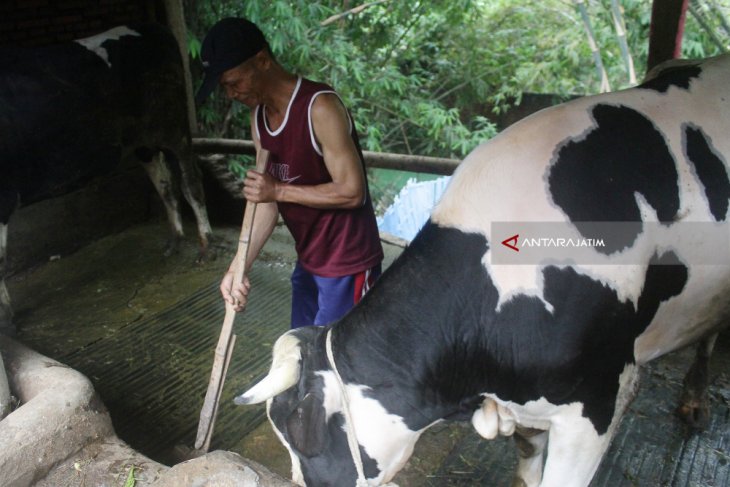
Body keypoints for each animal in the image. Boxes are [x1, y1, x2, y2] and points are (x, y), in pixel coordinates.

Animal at [1, 23, 213, 336]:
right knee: (164, 183)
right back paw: (174, 239)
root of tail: (150, 28)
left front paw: (5, 318)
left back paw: (205, 244)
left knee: (191, 182)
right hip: (143, 142)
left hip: (172, 126)